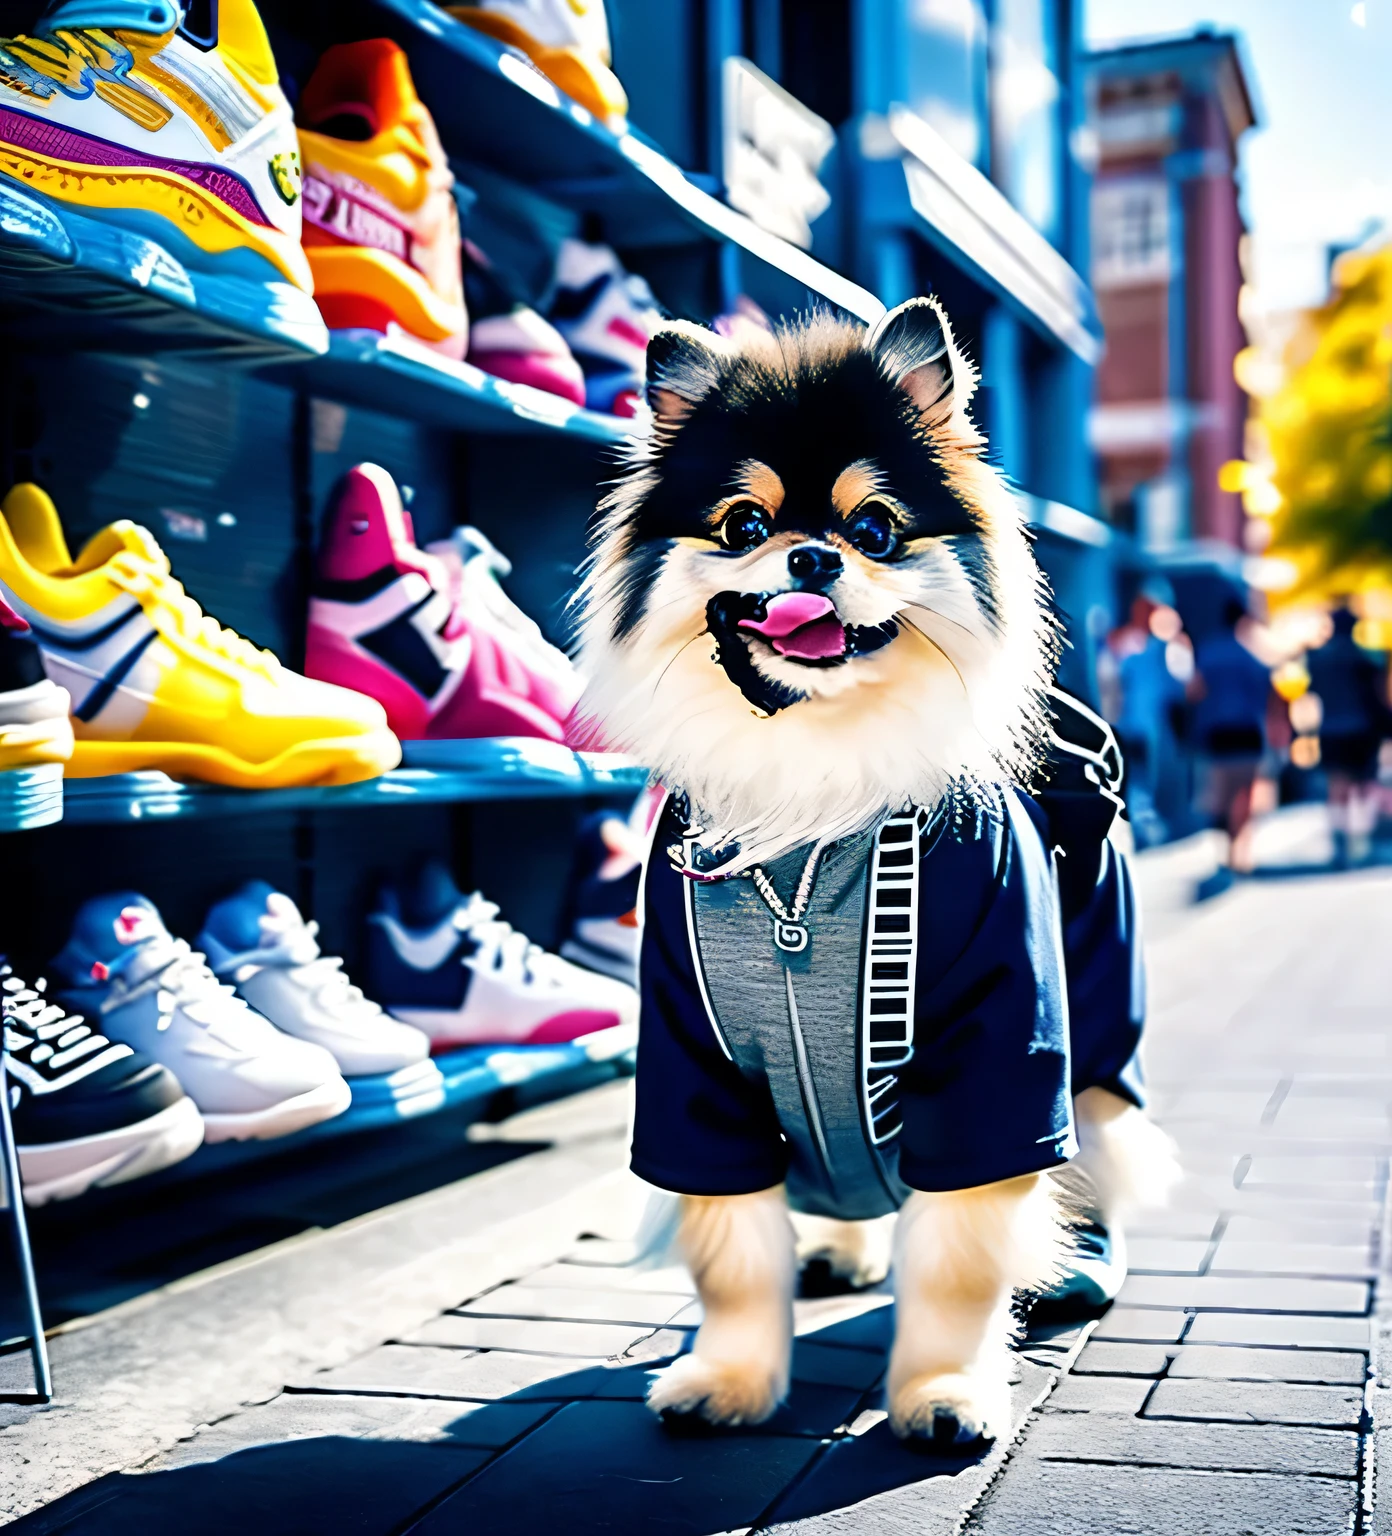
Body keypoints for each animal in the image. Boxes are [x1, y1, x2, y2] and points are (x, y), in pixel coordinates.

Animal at [574, 293, 1173, 1443]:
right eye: (744, 527)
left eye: (876, 530)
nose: (812, 559)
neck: (813, 797)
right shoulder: (692, 1066)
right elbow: (732, 1251)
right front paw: (729, 1382)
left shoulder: (1001, 1050)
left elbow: (958, 1259)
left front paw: (943, 1392)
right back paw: (837, 1247)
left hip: (1098, 1014)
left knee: (1097, 1138)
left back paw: (1078, 1256)